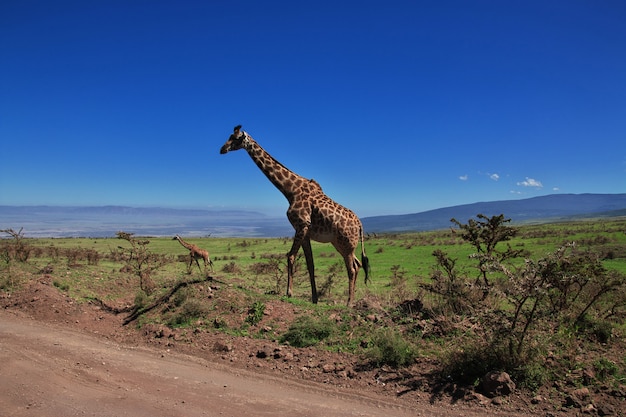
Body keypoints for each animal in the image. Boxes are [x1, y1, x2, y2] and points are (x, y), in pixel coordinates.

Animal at [218, 125, 366, 304]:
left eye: (235, 138)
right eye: (229, 136)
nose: (222, 149)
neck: (290, 191)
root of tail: (360, 225)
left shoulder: (301, 225)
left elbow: (290, 256)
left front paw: (289, 292)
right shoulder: (305, 231)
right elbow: (310, 263)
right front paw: (314, 298)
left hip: (346, 244)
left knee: (352, 268)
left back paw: (349, 302)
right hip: (341, 244)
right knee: (358, 264)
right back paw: (351, 299)